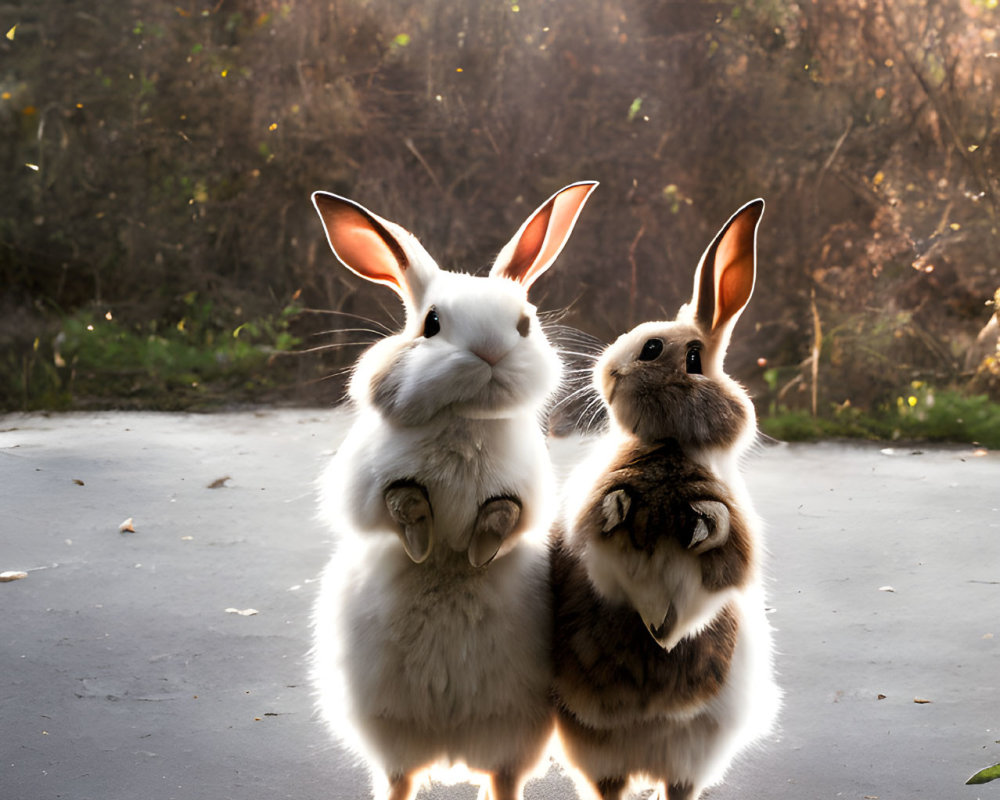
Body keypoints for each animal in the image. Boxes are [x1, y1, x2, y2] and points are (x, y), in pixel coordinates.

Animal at [308, 181, 596, 800]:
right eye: (432, 324)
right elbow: (400, 500)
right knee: (399, 779)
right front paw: (423, 540)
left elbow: (504, 513)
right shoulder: (366, 487)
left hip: (514, 736)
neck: (466, 420)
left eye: (524, 324)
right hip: (391, 739)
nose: (489, 352)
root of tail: (451, 749)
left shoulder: (525, 495)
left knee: (503, 777)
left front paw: (477, 550)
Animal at [548, 200, 780, 800]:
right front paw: (623, 513)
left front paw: (666, 627)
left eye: (655, 348)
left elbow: (716, 549)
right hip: (594, 746)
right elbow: (605, 531)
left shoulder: (732, 553)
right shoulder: (587, 527)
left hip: (694, 751)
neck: (668, 448)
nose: (607, 370)